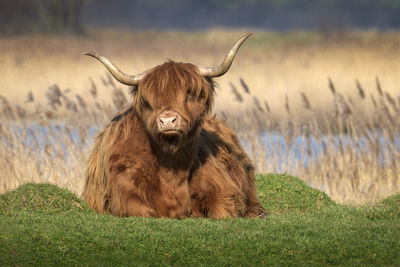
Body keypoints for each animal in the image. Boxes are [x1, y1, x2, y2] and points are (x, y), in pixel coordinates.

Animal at [83, 33, 268, 220]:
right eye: (149, 100)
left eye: (190, 93)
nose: (167, 120)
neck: (172, 166)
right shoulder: (123, 193)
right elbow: (142, 210)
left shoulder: (223, 188)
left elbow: (223, 210)